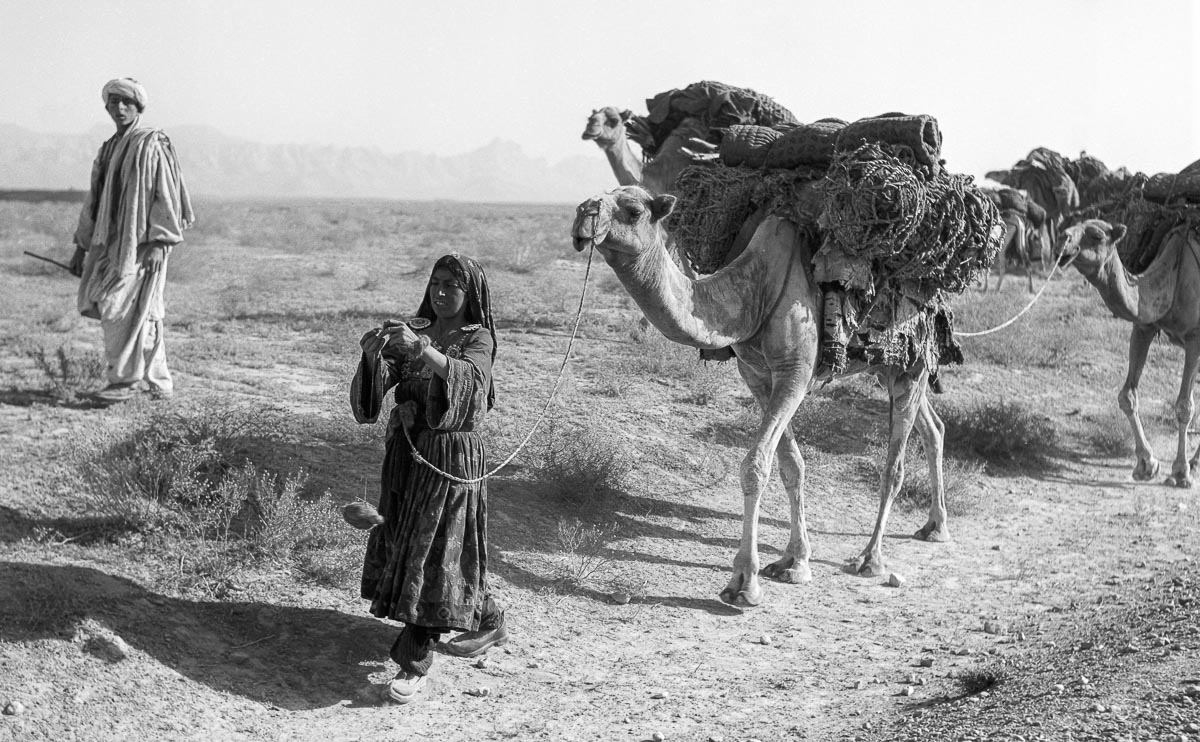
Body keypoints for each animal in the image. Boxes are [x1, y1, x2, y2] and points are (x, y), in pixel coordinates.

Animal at [570, 185, 950, 607]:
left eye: (634, 210)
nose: (584, 214)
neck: (756, 287)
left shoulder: (795, 372)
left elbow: (756, 465)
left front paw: (743, 583)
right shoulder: (756, 375)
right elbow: (791, 465)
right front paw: (794, 562)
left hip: (912, 361)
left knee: (895, 466)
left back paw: (871, 558)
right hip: (887, 365)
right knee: (934, 427)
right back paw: (935, 526)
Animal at [1058, 219, 1200, 487]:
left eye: (1097, 235)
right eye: (1069, 228)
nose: (1063, 241)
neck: (1174, 279)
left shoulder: (1195, 338)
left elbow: (1184, 406)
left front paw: (1180, 472)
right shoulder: (1144, 327)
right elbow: (1127, 396)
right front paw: (1146, 465)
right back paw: (1196, 461)